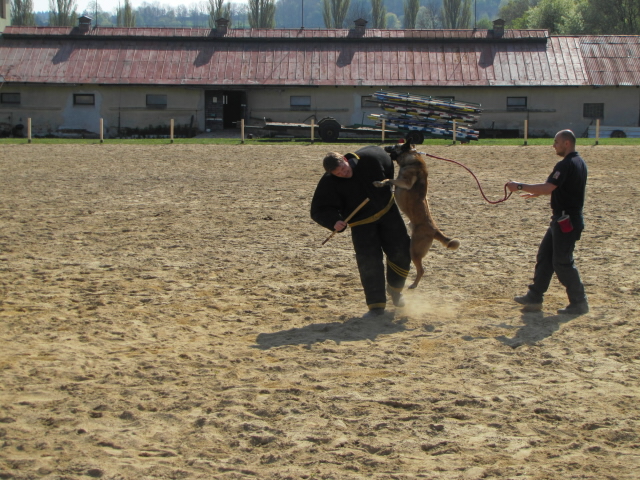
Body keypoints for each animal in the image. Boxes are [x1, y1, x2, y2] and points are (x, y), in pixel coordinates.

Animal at [376, 141, 460, 286]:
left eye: (395, 145)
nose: (384, 147)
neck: (411, 158)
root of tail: (434, 230)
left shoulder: (406, 182)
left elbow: (389, 179)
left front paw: (380, 182)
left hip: (414, 250)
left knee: (421, 270)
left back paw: (413, 285)